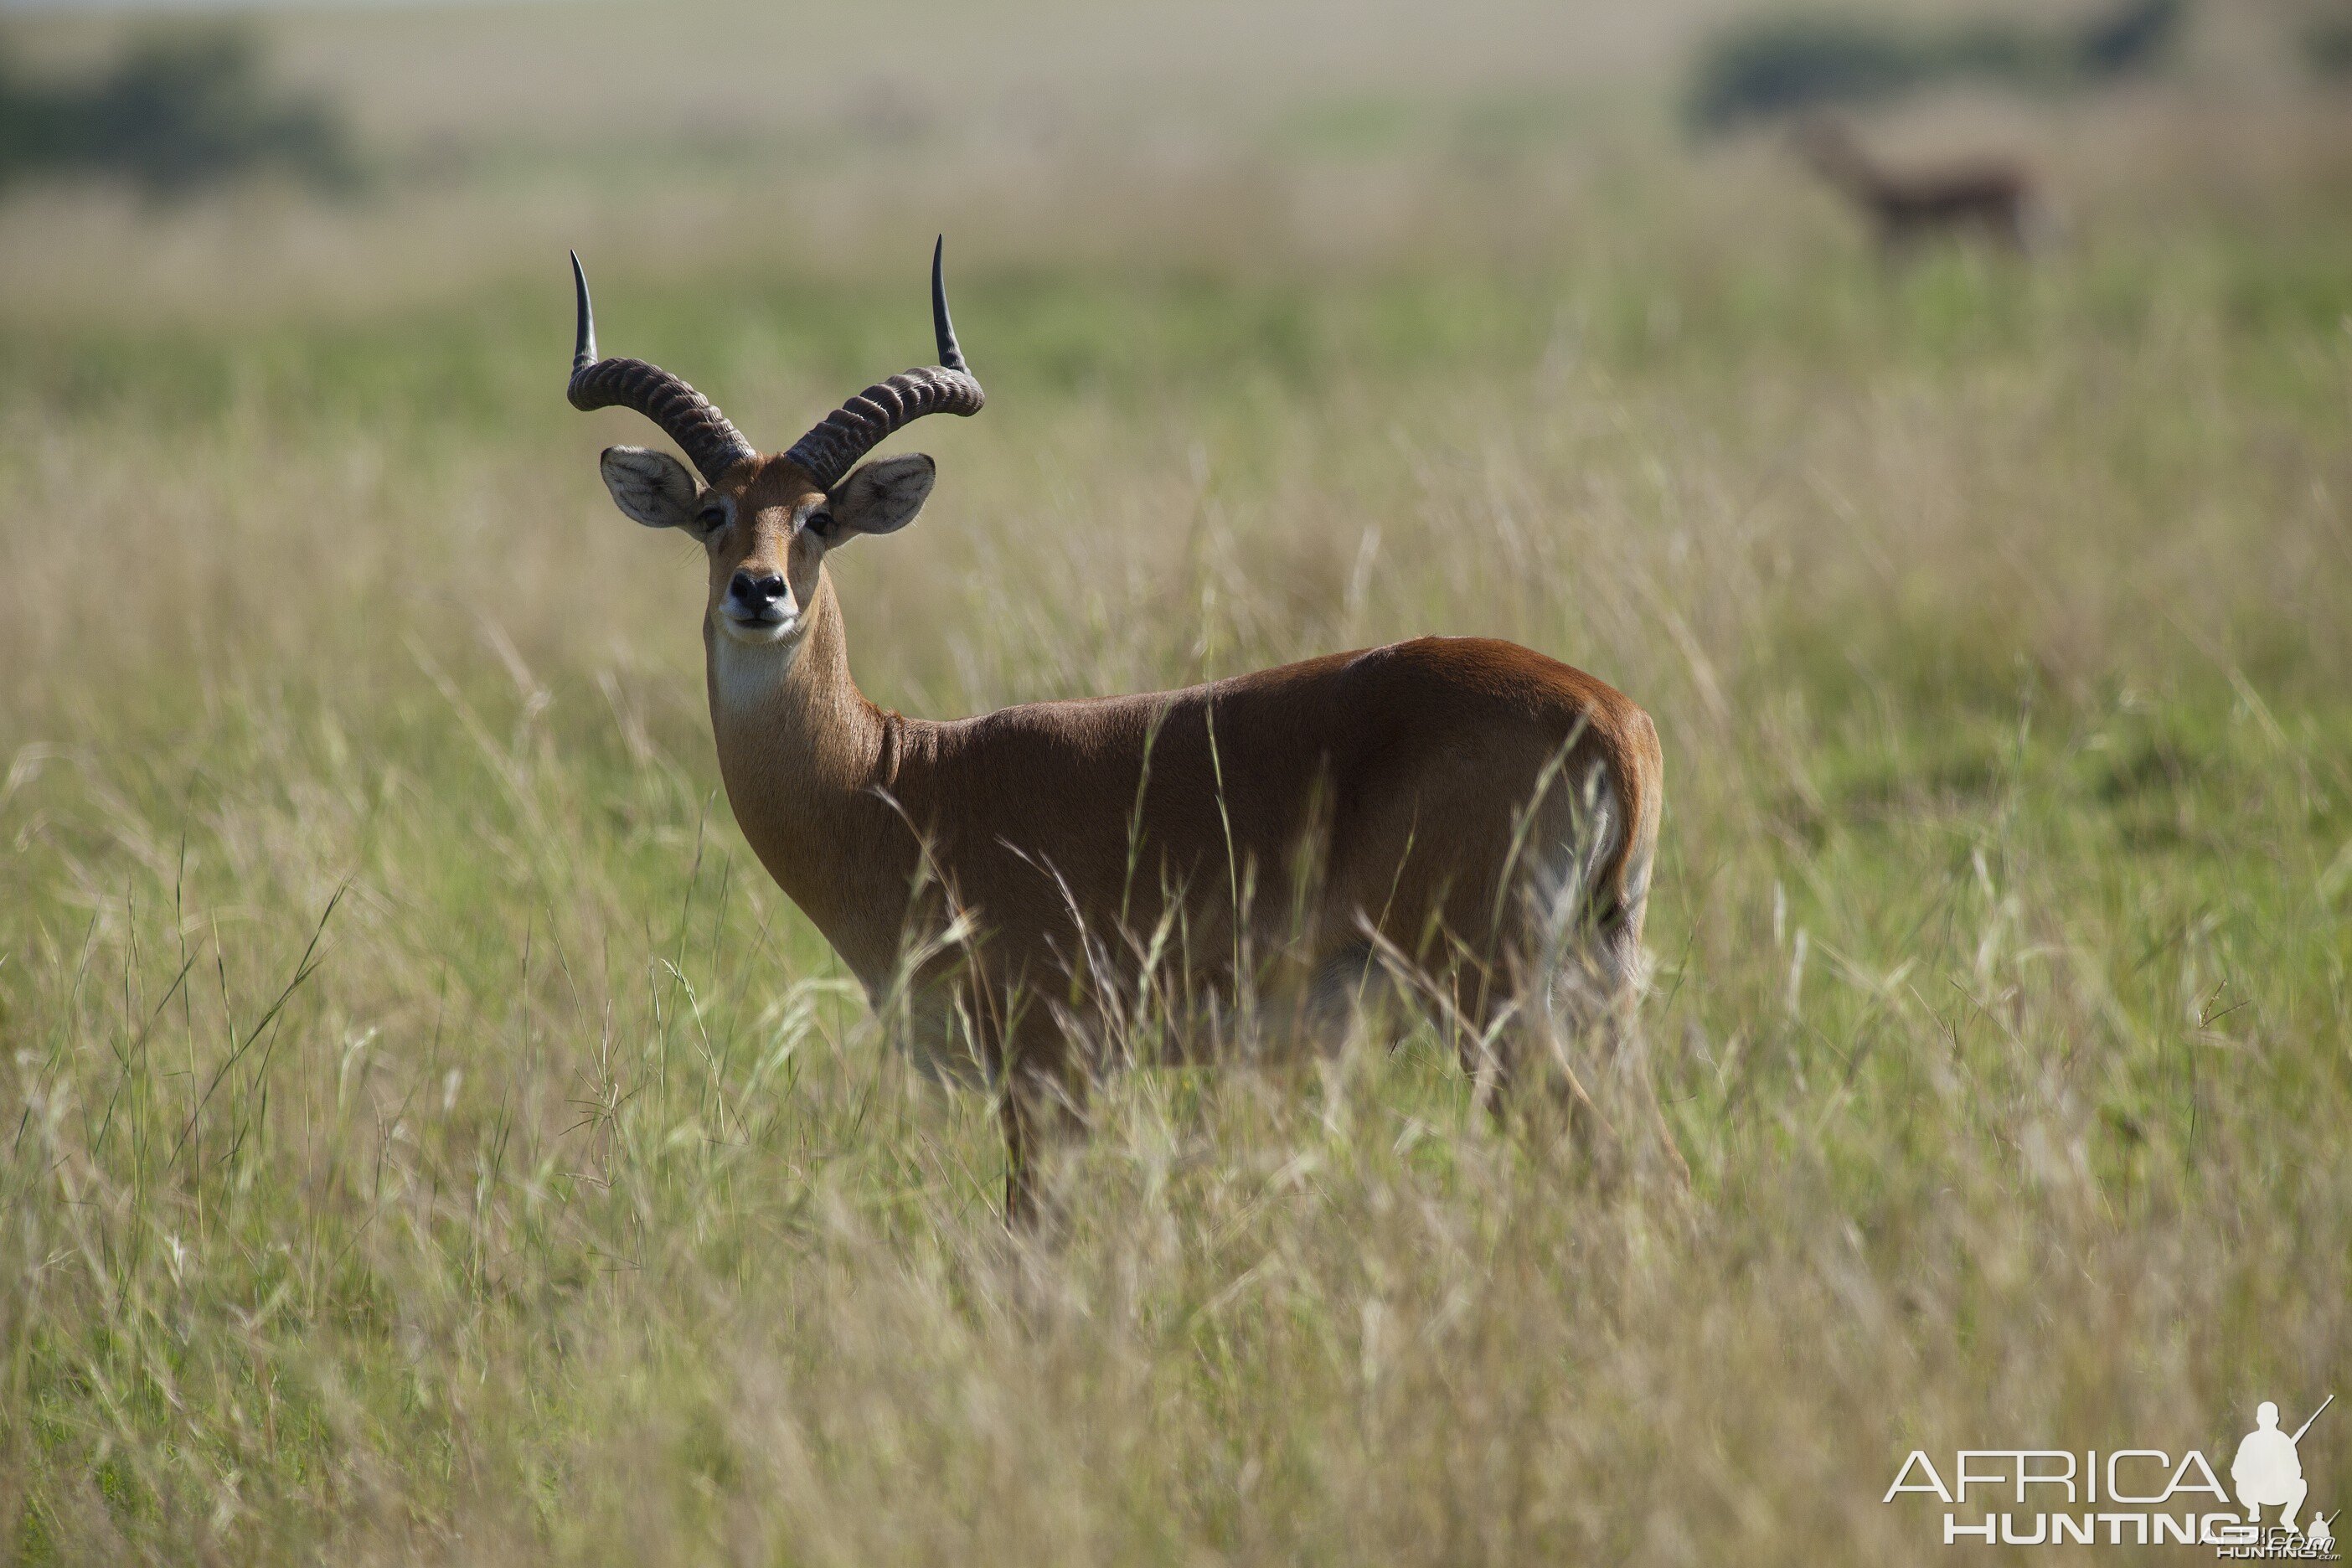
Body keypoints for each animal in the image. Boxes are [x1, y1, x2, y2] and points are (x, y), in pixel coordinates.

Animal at [564, 248, 1674, 1222]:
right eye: (713, 511)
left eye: (820, 518)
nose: (761, 592)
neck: (899, 781)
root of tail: (1612, 717)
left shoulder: (1047, 1062)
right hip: (1595, 994)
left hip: (1493, 1001)